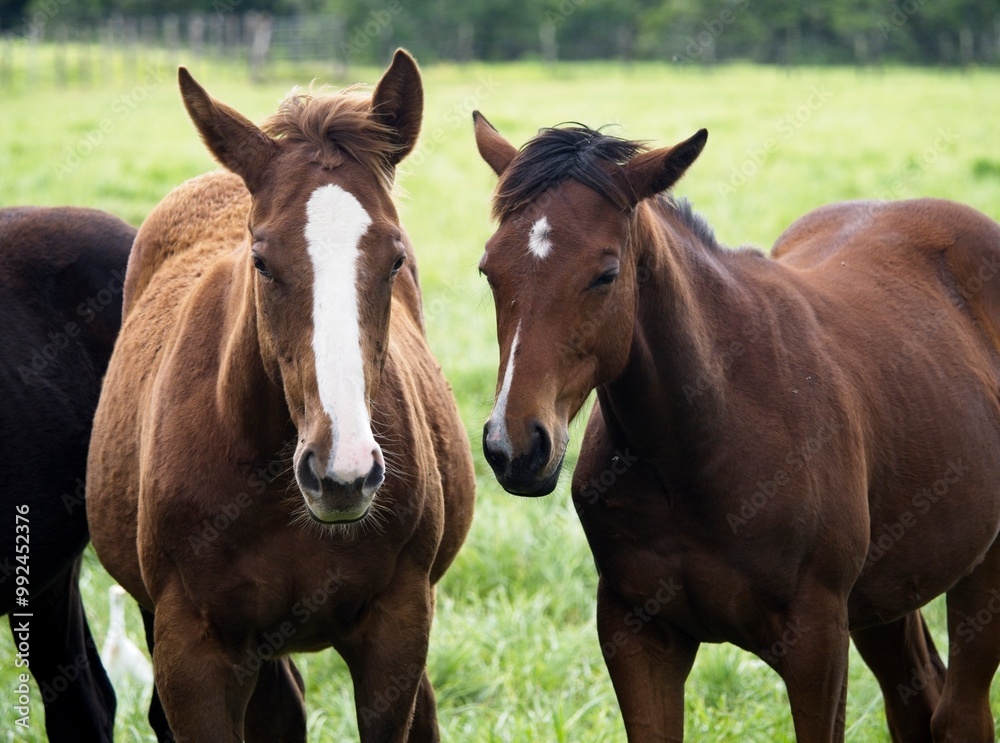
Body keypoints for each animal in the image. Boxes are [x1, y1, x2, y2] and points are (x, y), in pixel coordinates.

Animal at [472, 113, 1000, 742]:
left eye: (605, 274)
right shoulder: (637, 635)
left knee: (962, 714)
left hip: (980, 572)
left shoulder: (817, 642)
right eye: (489, 270)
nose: (515, 448)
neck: (698, 444)